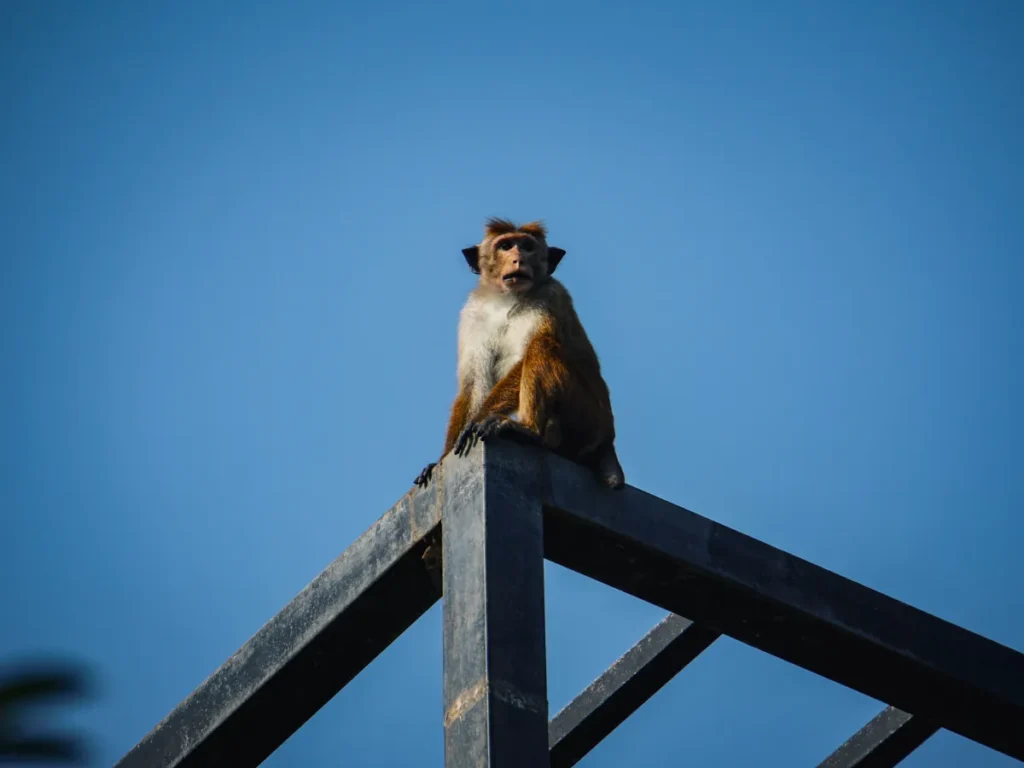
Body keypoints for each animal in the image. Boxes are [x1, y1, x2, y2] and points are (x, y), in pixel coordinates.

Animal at [413, 217, 625, 491]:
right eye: (505, 246)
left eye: (527, 247)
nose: (518, 259)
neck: (506, 299)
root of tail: (609, 440)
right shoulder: (472, 314)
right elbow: (474, 383)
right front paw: (441, 459)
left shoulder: (550, 296)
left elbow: (525, 358)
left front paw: (476, 422)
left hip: (587, 420)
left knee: (541, 345)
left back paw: (527, 430)